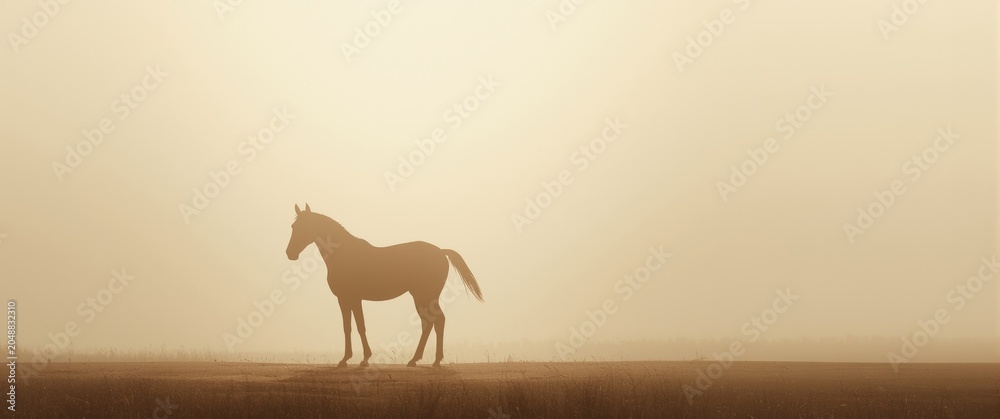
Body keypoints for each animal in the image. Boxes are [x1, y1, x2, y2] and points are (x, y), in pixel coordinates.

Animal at [284, 203, 483, 367]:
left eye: (303, 227)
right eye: (293, 227)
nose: (290, 253)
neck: (344, 254)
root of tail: (441, 252)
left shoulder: (352, 298)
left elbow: (358, 326)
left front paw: (360, 359)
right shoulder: (346, 299)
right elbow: (349, 327)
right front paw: (349, 359)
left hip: (425, 296)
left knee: (437, 321)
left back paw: (431, 361)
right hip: (422, 297)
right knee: (429, 323)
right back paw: (417, 360)